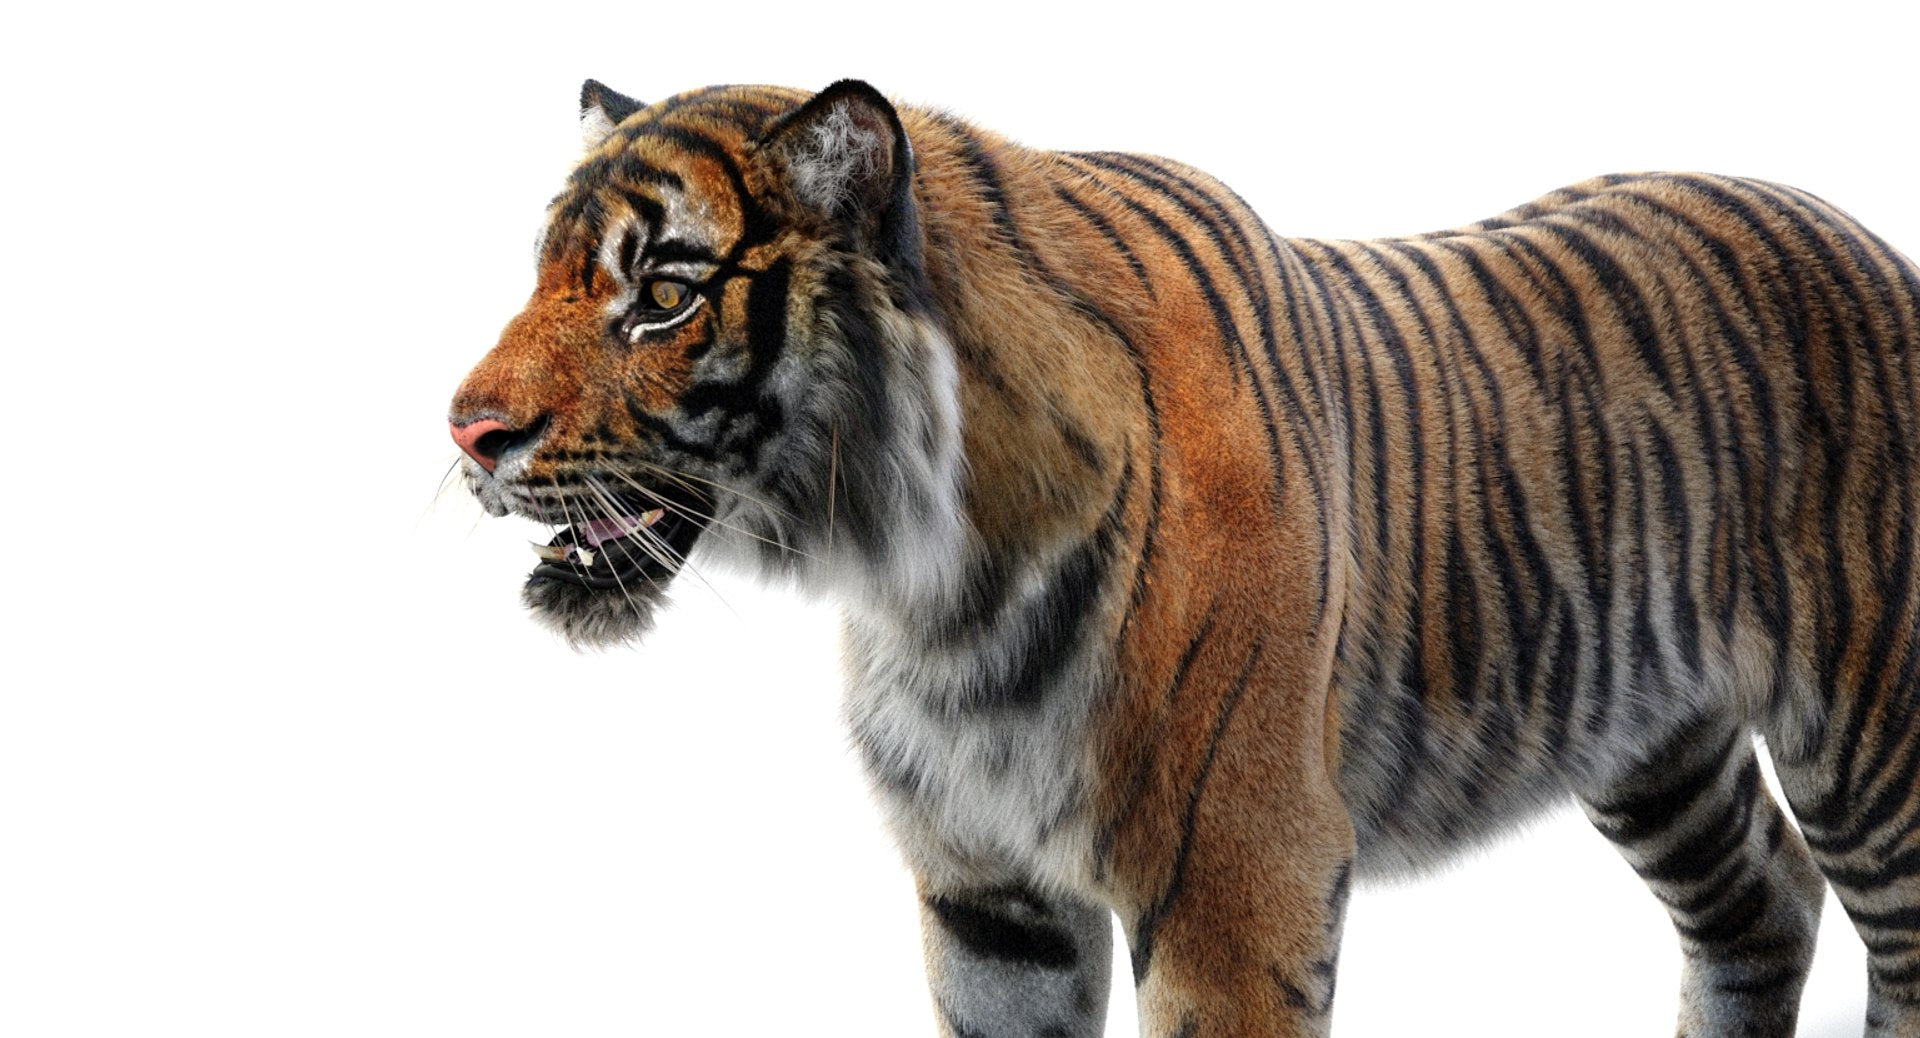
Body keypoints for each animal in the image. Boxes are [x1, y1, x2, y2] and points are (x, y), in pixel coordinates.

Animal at [447, 79, 1920, 1037]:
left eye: (662, 296)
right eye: (550, 275)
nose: (465, 430)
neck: (920, 571)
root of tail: (1863, 233)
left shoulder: (1239, 876)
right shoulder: (988, 895)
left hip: (1870, 741)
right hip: (1653, 737)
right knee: (1764, 902)